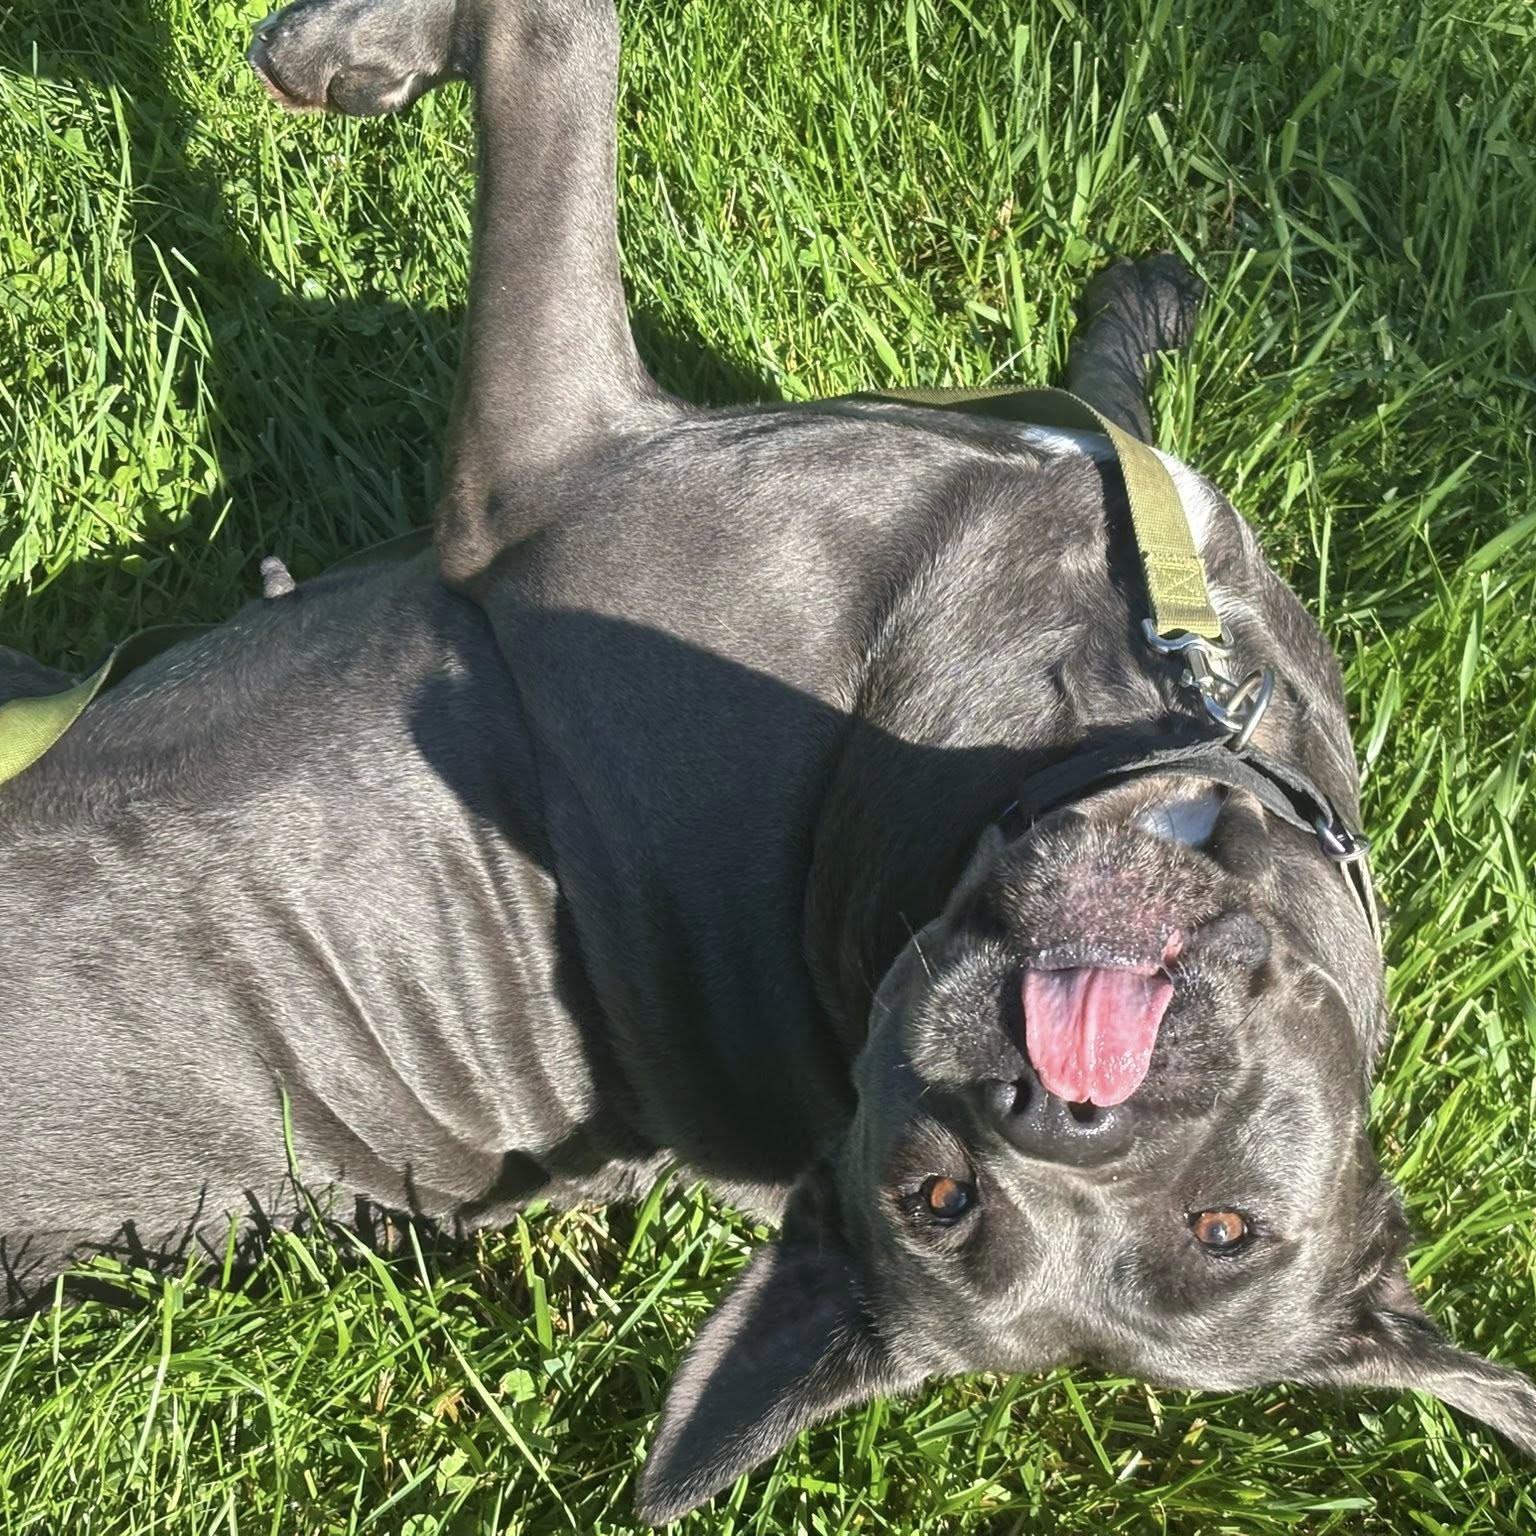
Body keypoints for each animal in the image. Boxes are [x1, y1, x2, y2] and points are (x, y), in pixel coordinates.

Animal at [3, 0, 1532, 1522]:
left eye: (1224, 1227)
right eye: (938, 1198)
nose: (1062, 1108)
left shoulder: (537, 454)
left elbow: (557, 52)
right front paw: (1138, 318)